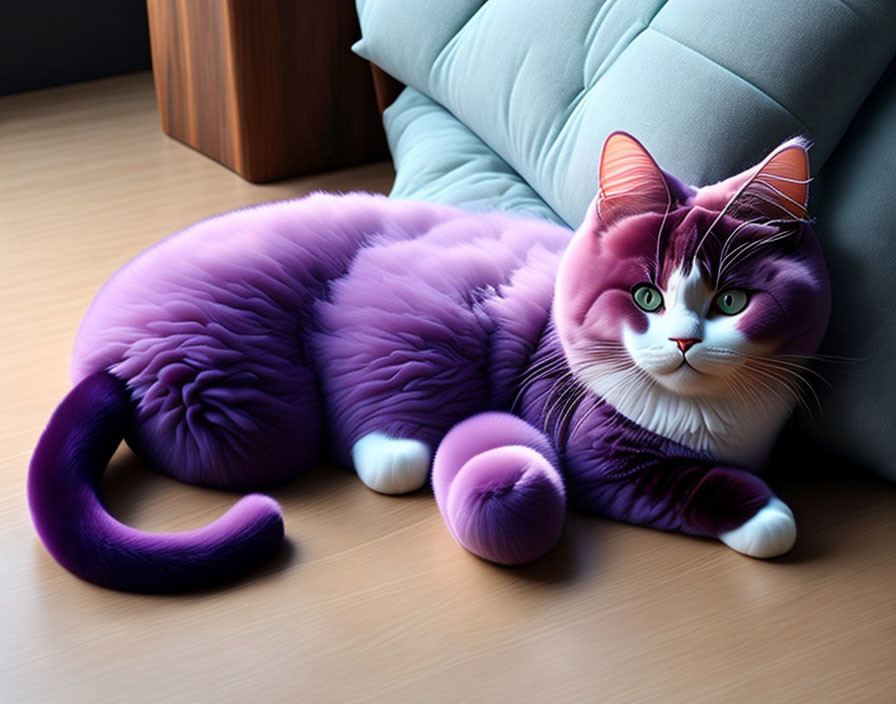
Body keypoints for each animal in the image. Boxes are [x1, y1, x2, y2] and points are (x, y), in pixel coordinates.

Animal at [28, 131, 828, 588]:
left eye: (731, 301)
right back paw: (402, 451)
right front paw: (768, 517)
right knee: (377, 440)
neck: (713, 421)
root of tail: (105, 352)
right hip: (257, 408)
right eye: (645, 296)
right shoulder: (596, 451)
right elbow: (691, 485)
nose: (685, 341)